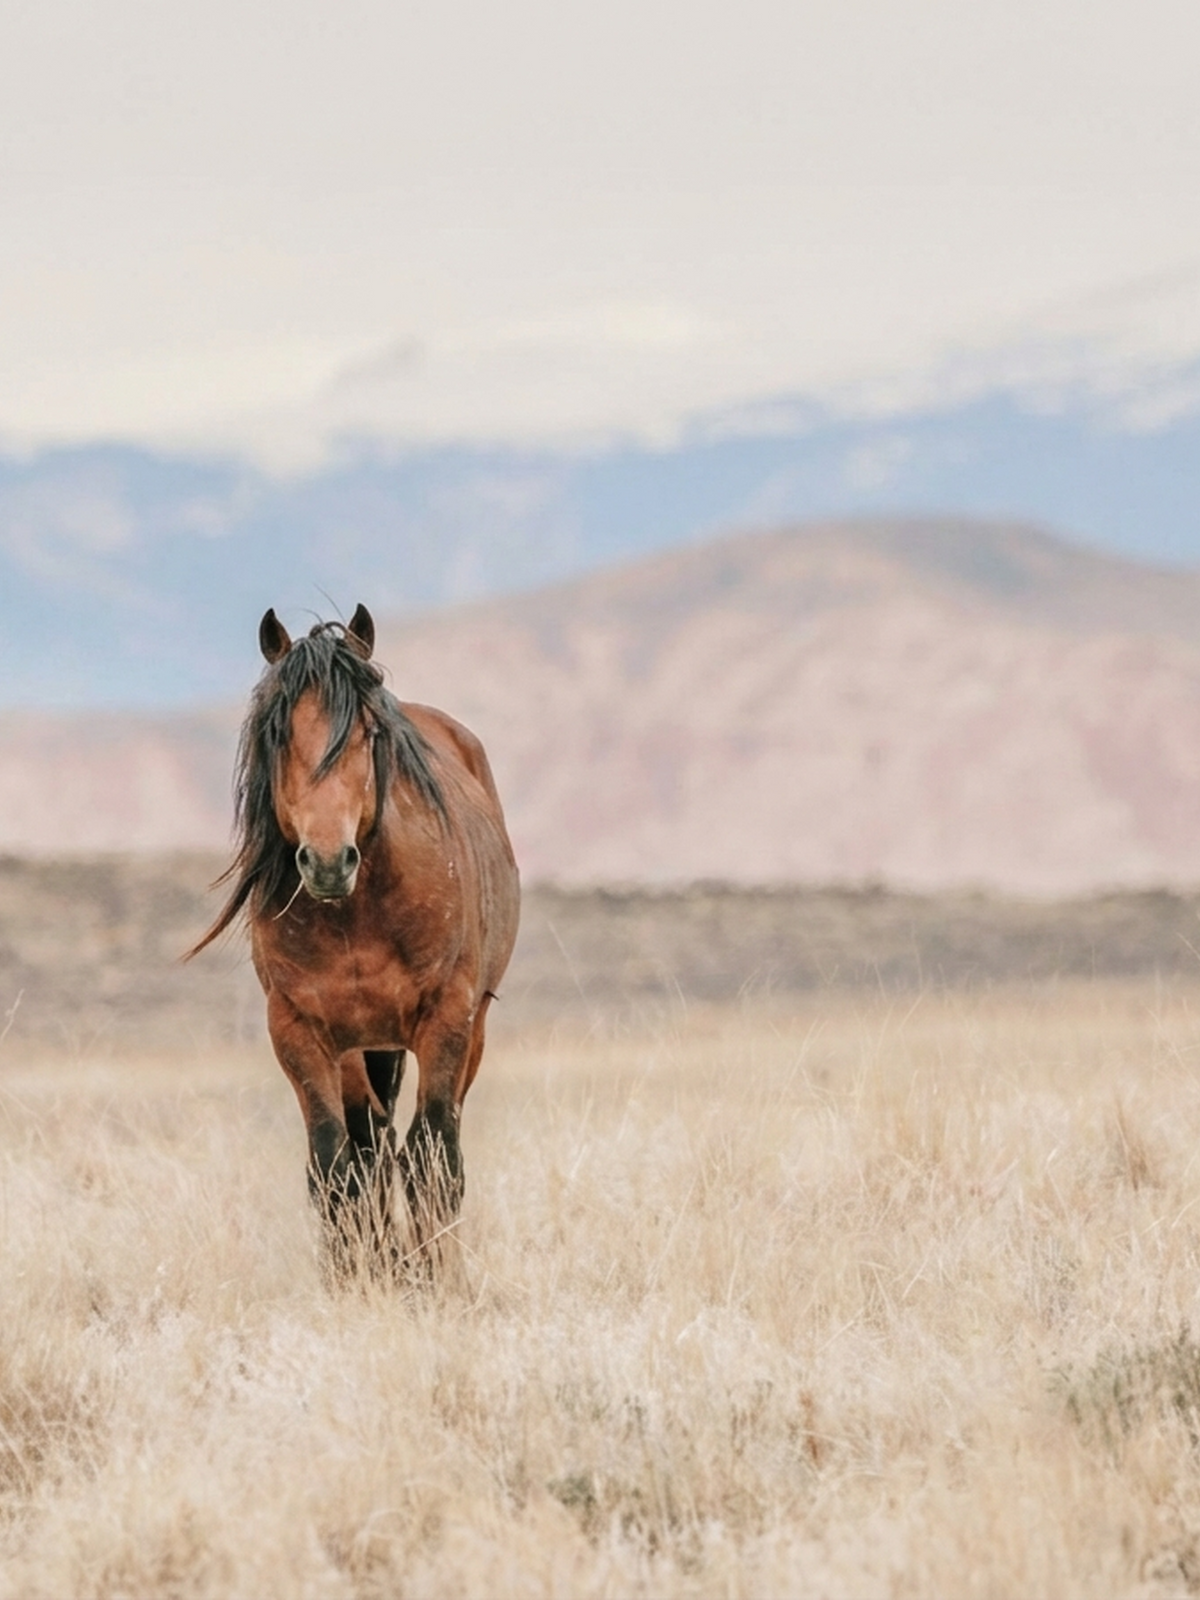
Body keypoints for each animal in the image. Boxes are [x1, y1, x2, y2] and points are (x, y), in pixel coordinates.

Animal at [189, 603, 520, 1274]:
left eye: (368, 733)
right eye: (279, 734)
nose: (326, 861)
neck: (358, 915)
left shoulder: (447, 1017)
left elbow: (433, 1155)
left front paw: (433, 1275)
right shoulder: (300, 1029)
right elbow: (334, 1164)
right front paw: (352, 1274)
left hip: (466, 1029)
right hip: (365, 1046)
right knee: (369, 1145)